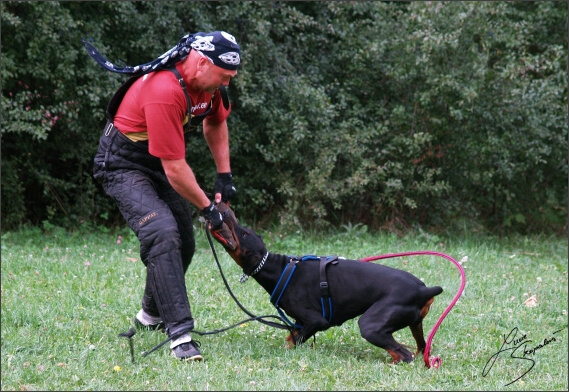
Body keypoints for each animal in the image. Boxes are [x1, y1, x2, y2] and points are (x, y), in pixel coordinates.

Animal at [210, 205, 444, 364]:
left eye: (244, 233)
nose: (224, 210)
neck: (280, 269)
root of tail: (423, 289)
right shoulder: (299, 323)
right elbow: (290, 337)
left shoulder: (316, 321)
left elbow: (294, 341)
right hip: (415, 325)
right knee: (420, 348)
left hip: (371, 325)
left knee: (404, 354)